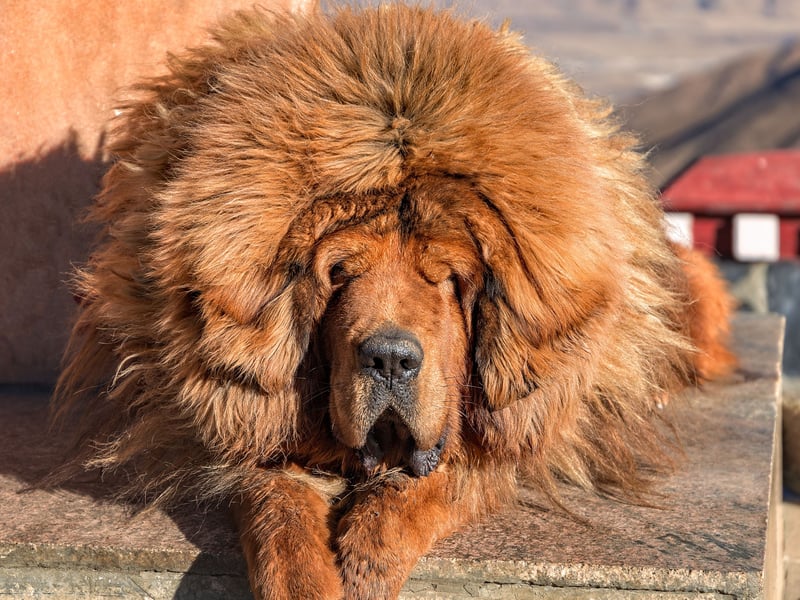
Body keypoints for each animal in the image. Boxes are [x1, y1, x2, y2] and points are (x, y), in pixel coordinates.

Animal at [53, 4, 735, 599]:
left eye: (449, 280)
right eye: (339, 274)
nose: (388, 359)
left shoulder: (513, 433)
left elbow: (440, 484)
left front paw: (368, 557)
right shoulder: (246, 422)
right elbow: (274, 505)